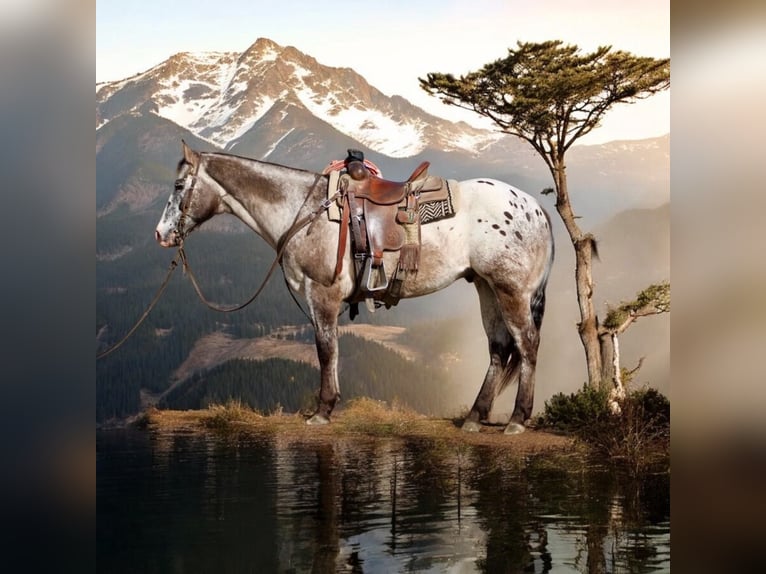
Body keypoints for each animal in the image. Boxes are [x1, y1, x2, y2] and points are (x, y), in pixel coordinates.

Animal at [155, 141, 554, 434]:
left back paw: (517, 419)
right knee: (499, 348)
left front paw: (323, 409)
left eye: (178, 186)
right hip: (487, 287)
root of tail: (535, 206)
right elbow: (330, 349)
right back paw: (474, 417)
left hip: (511, 290)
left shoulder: (322, 293)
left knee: (527, 344)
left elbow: (326, 349)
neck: (305, 210)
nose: (161, 234)